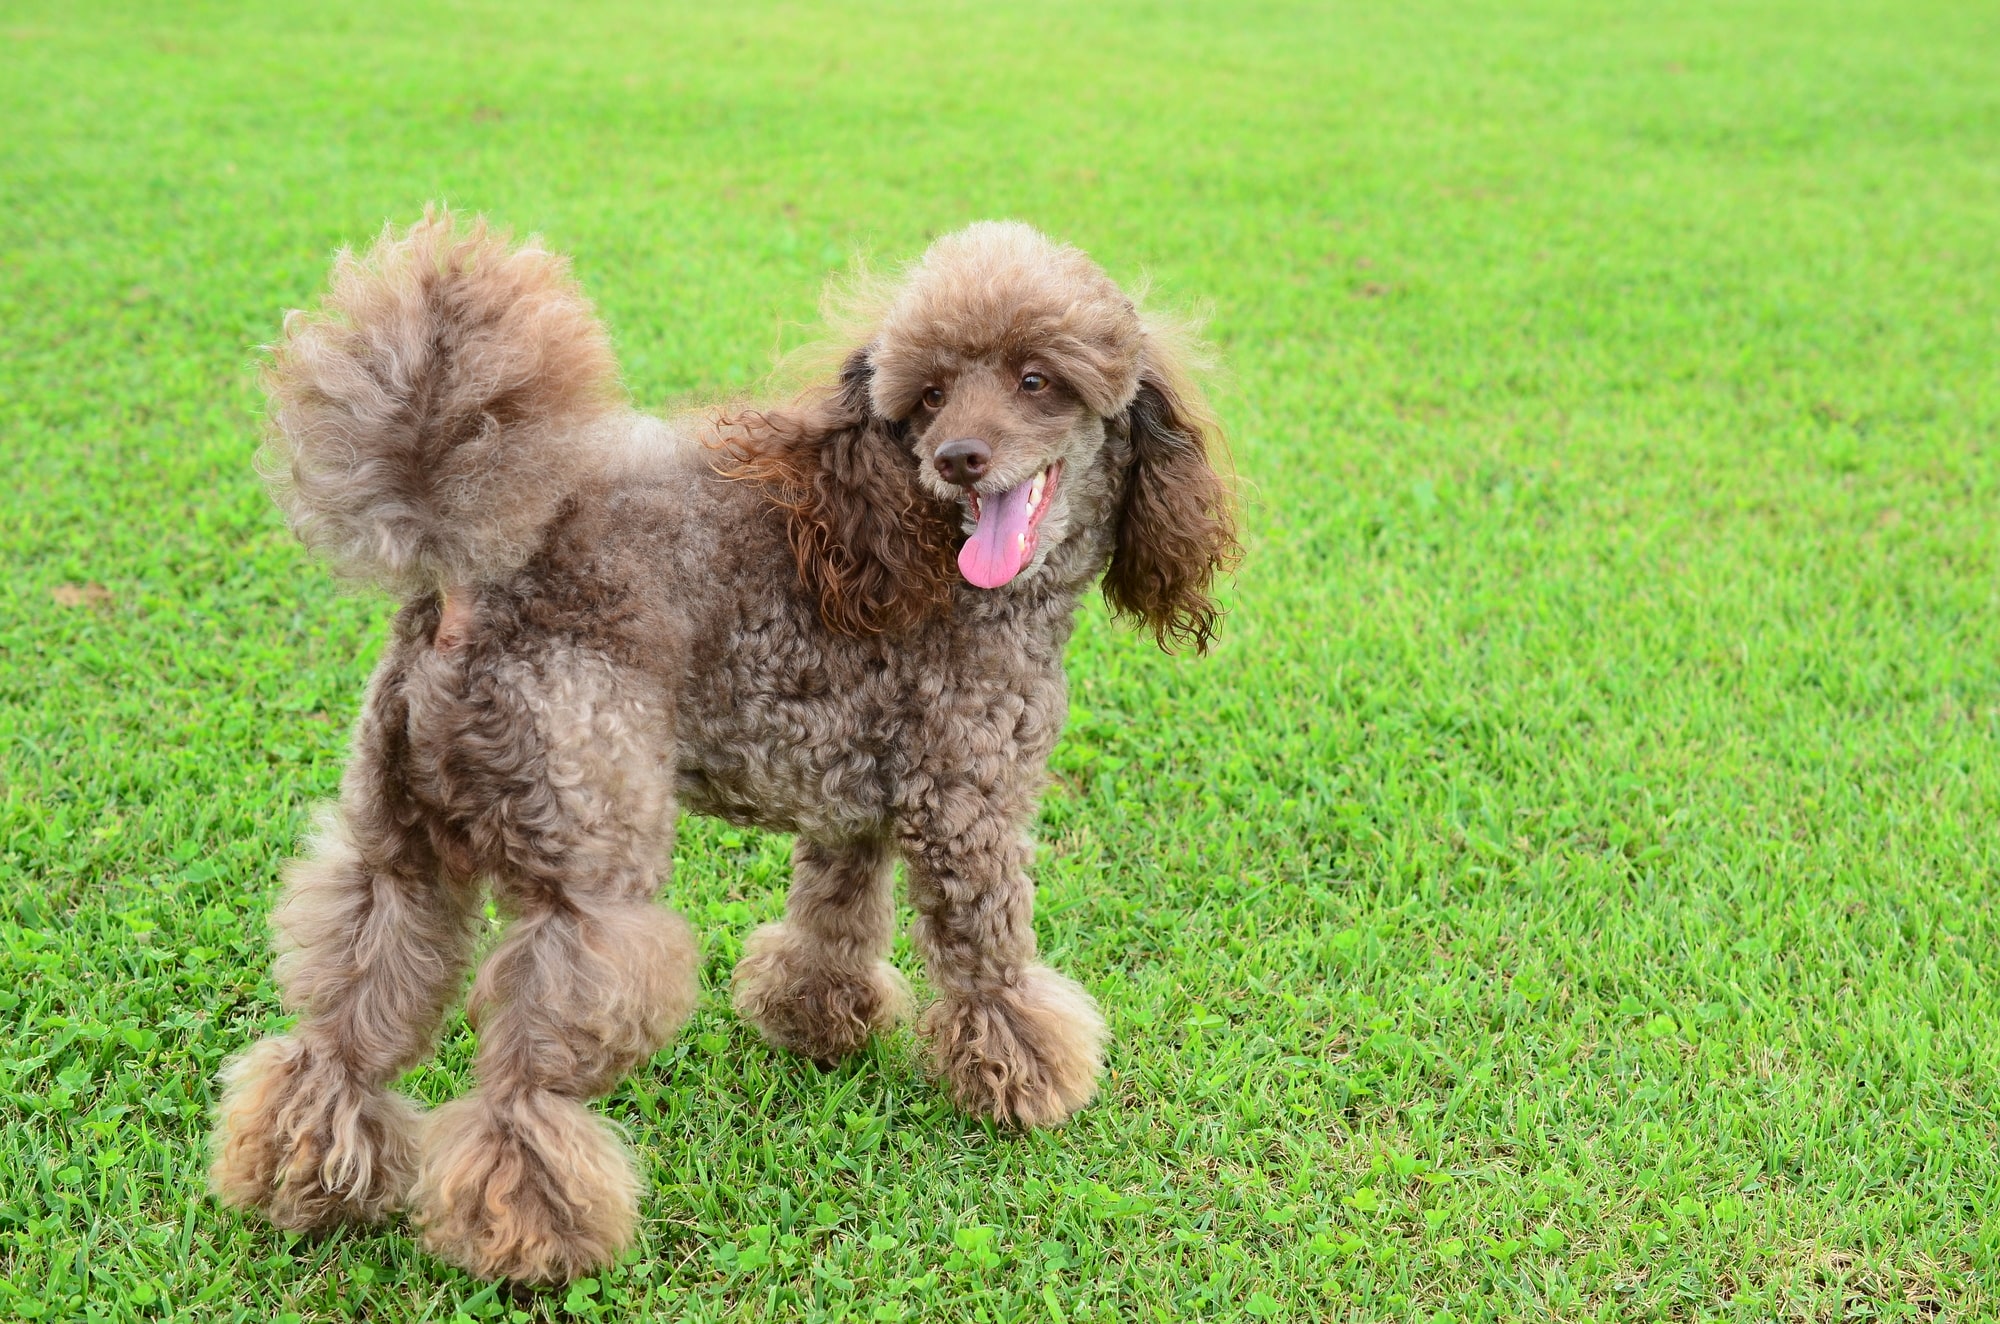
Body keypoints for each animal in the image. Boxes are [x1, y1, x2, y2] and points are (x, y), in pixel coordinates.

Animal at [203, 210, 1232, 1288]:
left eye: (1037, 380)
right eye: (931, 395)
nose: (958, 457)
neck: (901, 541)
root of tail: (467, 575)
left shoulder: (852, 808)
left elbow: (832, 921)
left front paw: (817, 1023)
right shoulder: (967, 810)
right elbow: (991, 963)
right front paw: (1026, 1079)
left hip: (395, 844)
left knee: (339, 1031)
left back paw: (306, 1177)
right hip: (591, 873)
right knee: (521, 1089)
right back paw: (534, 1237)